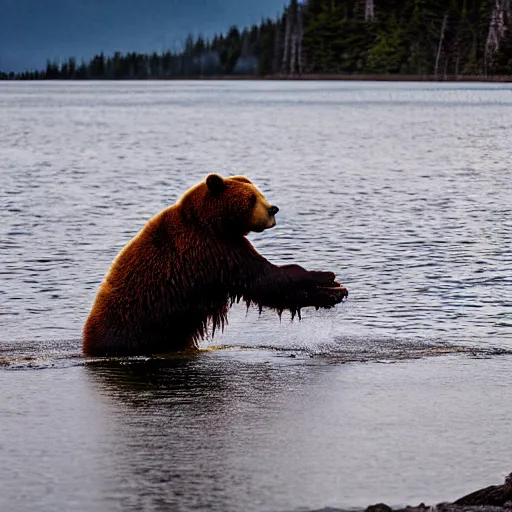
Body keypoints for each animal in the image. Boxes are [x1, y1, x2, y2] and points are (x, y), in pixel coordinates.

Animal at [83, 175, 348, 356]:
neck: (214, 223)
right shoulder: (215, 251)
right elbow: (267, 281)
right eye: (252, 198)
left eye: (259, 192)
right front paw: (330, 286)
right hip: (137, 327)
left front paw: (332, 282)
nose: (273, 209)